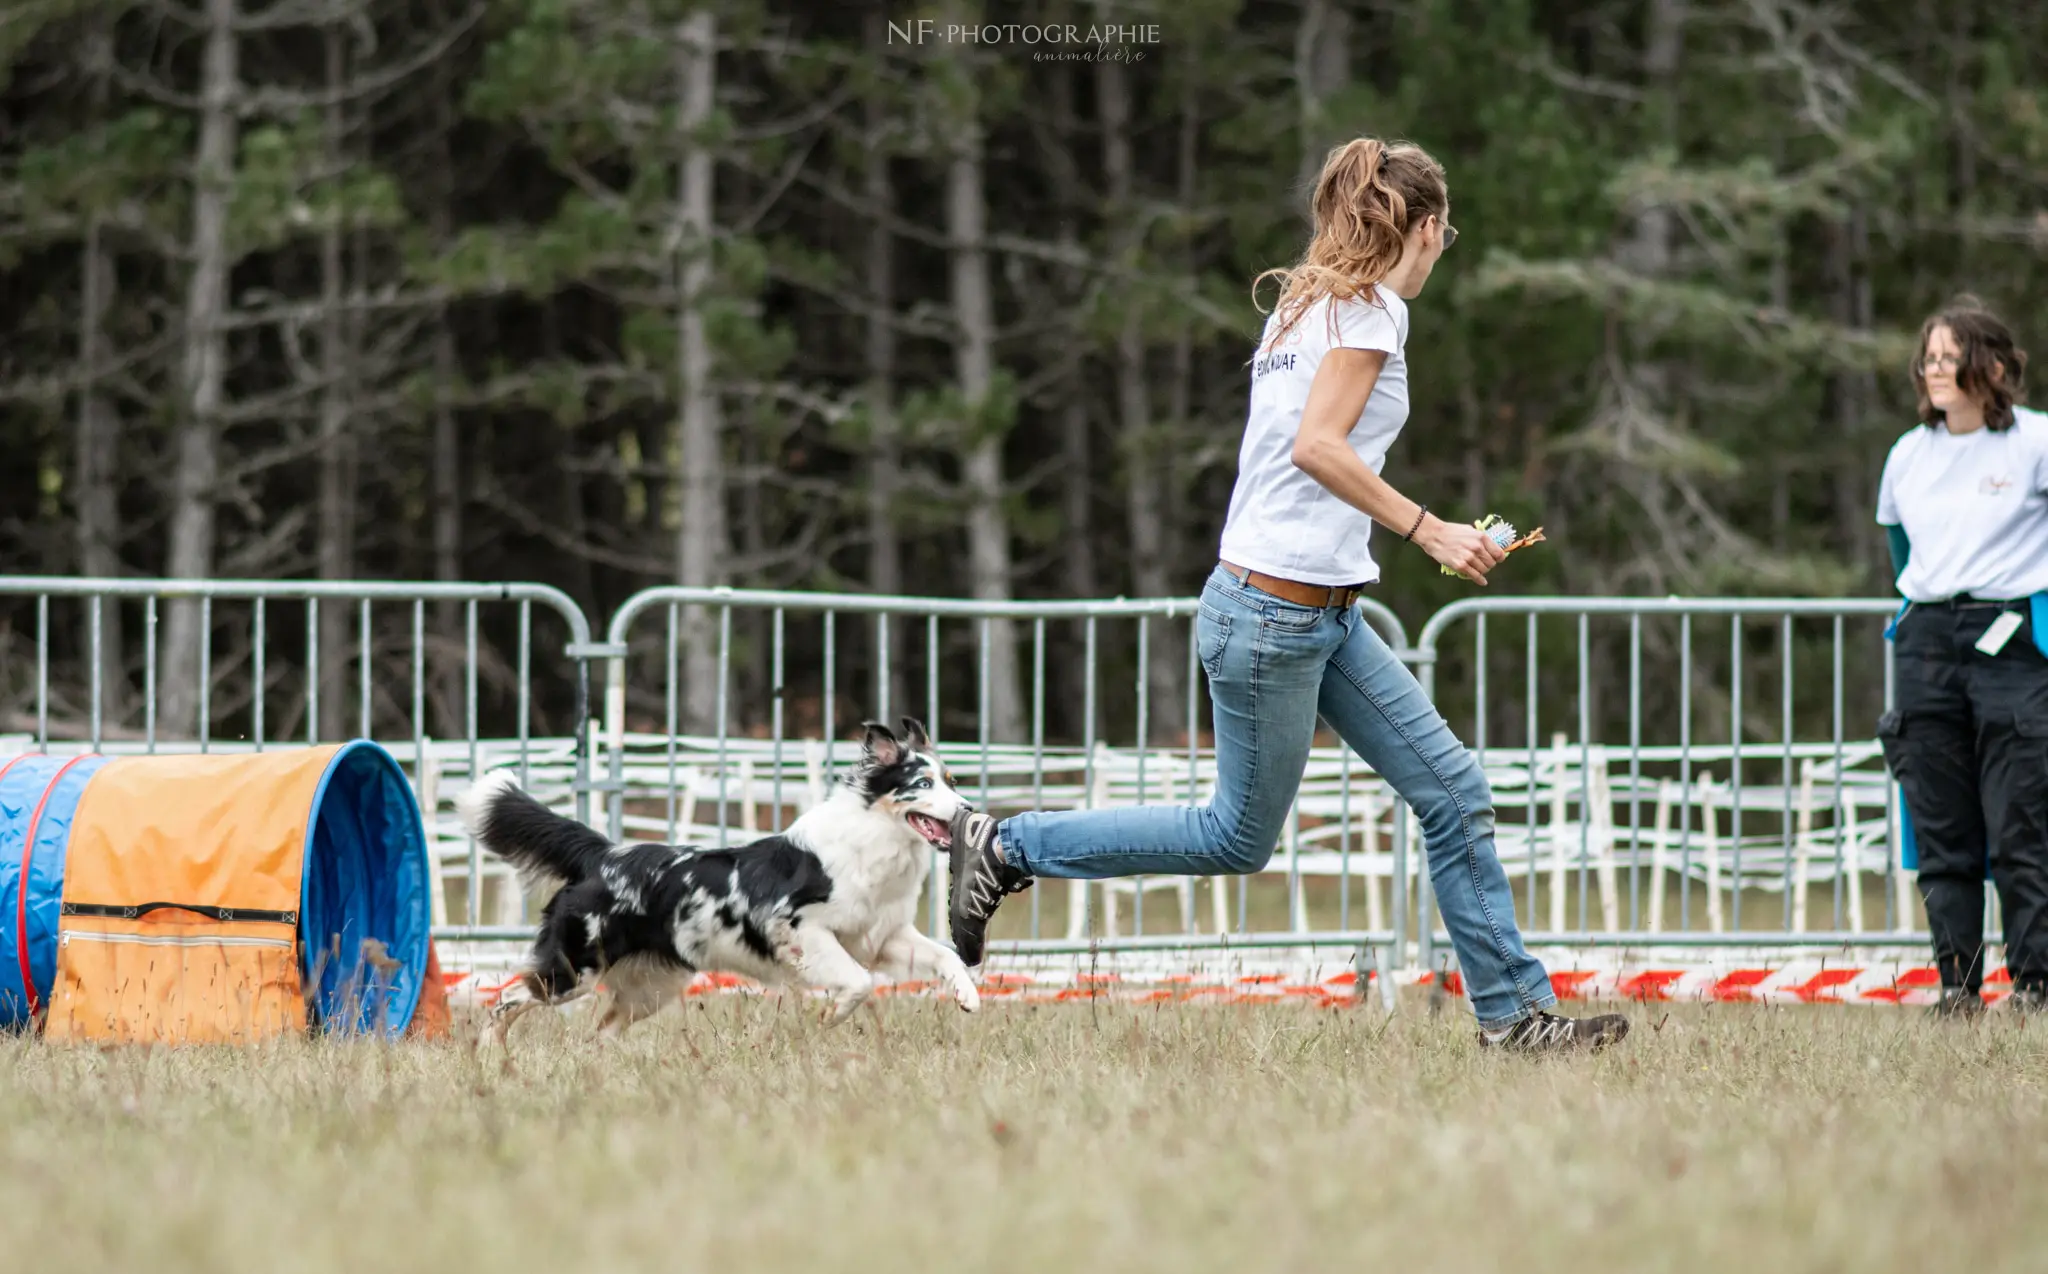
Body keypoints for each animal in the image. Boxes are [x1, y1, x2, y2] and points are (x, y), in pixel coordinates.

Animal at [458, 720, 983, 1048]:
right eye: (923, 785)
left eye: (952, 781)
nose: (967, 810)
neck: (873, 840)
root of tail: (604, 854)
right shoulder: (800, 930)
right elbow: (859, 982)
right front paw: (830, 1016)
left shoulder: (882, 934)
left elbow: (945, 956)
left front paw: (968, 996)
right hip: (574, 970)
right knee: (507, 998)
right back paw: (488, 1052)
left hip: (651, 988)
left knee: (600, 1030)